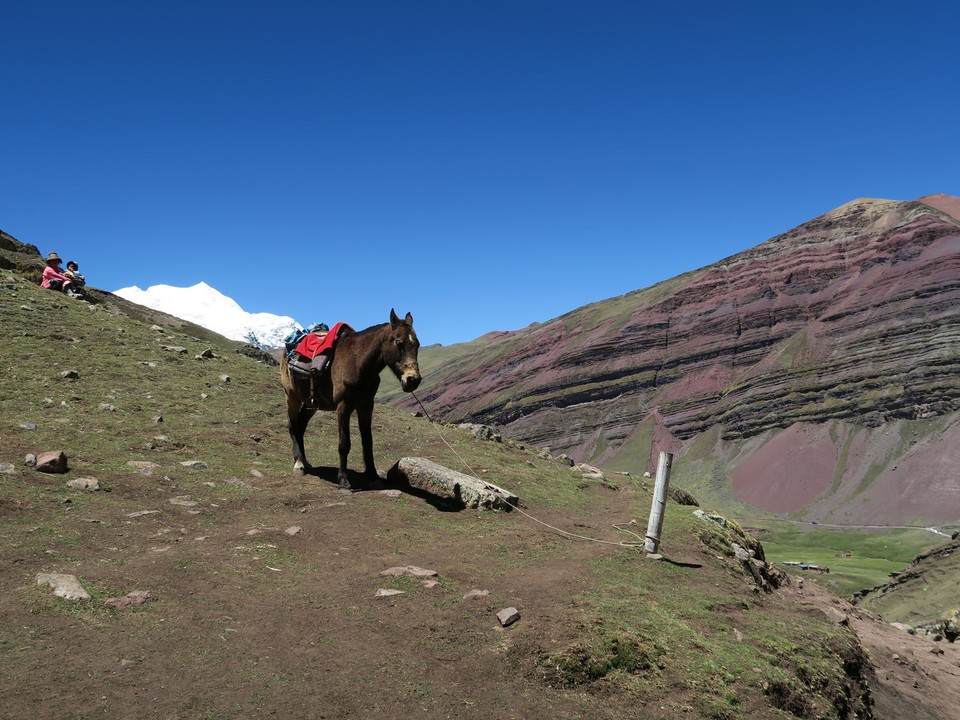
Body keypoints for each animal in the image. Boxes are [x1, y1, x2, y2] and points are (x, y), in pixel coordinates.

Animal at [282, 310, 424, 490]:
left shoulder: (366, 406)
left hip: (310, 404)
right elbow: (344, 444)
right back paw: (299, 464)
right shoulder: (343, 407)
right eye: (399, 342)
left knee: (300, 426)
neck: (358, 363)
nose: (413, 380)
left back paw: (305, 462)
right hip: (291, 397)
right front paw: (343, 479)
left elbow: (368, 442)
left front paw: (373, 477)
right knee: (293, 426)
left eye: (417, 344)